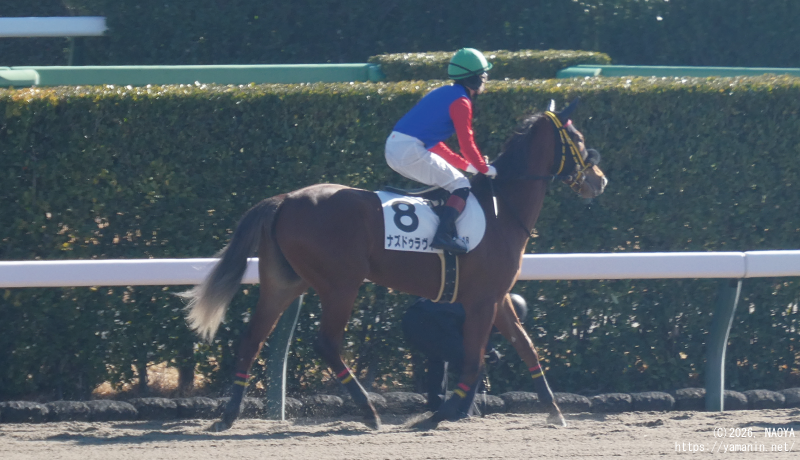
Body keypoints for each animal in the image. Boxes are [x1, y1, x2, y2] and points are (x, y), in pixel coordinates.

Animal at [180, 99, 607, 431]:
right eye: (579, 140)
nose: (599, 181)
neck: (502, 209)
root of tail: (283, 200)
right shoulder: (482, 301)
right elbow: (474, 358)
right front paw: (442, 413)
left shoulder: (497, 297)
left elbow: (526, 348)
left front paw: (554, 411)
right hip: (341, 285)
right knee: (327, 343)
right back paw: (368, 411)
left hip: (284, 282)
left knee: (252, 338)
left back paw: (228, 415)